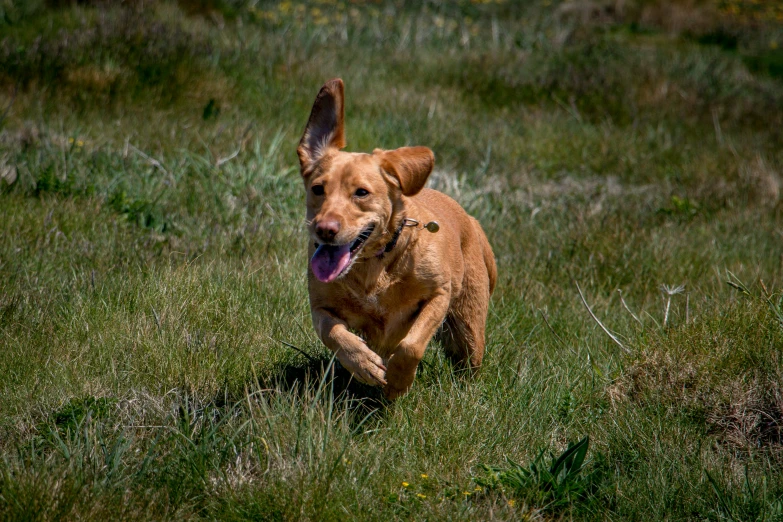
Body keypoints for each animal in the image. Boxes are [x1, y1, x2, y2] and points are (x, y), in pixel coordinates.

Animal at [298, 77, 496, 396]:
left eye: (361, 192)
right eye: (318, 189)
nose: (324, 229)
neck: (374, 265)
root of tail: (471, 219)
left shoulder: (439, 294)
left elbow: (411, 346)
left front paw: (399, 381)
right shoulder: (320, 307)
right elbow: (333, 333)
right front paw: (363, 363)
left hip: (468, 328)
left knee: (469, 364)